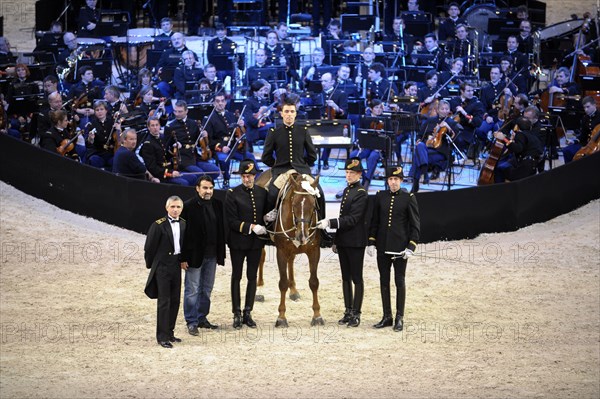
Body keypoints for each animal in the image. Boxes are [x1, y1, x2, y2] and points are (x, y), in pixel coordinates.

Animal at [254, 170, 324, 328]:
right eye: (294, 204)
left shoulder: (314, 251)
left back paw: (293, 290)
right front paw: (281, 317)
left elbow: (314, 282)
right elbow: (282, 283)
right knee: (260, 258)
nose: (302, 235)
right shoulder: (281, 252)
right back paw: (259, 290)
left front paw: (317, 315)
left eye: (313, 206)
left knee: (291, 261)